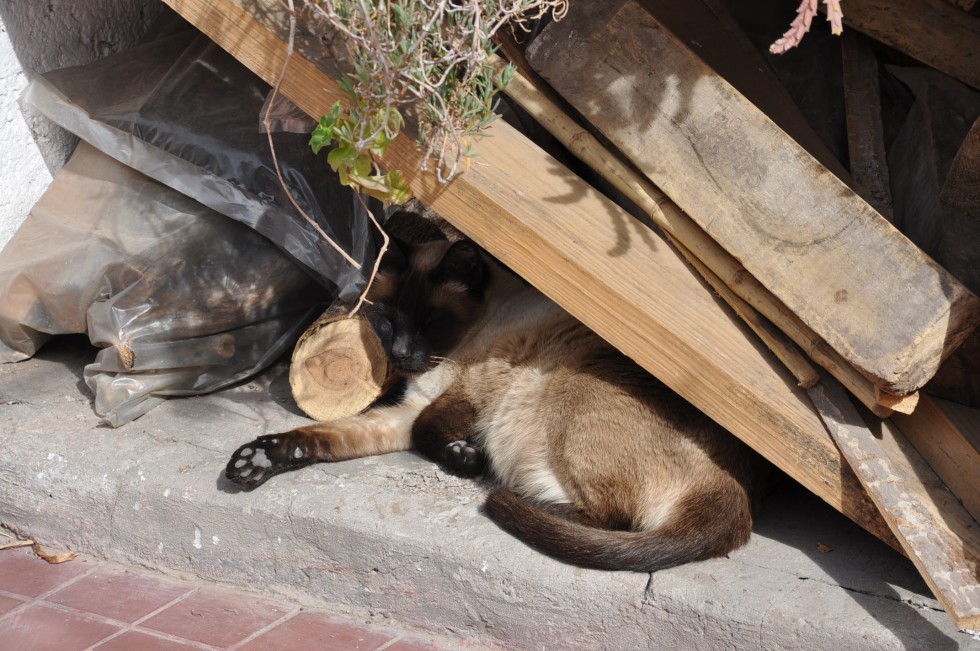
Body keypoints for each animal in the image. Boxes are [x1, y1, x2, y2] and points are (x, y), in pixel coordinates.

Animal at [226, 214, 768, 572]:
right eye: (391, 321)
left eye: (430, 322)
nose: (400, 354)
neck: (447, 353)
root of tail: (737, 490)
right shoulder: (408, 409)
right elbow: (322, 437)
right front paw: (256, 461)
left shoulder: (471, 390)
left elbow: (427, 434)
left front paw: (463, 457)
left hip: (569, 383)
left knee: (617, 520)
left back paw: (498, 491)